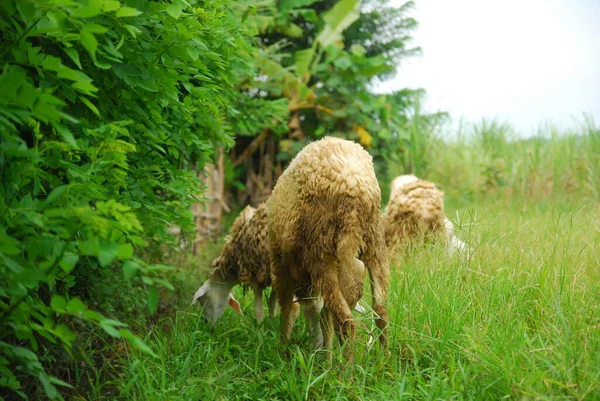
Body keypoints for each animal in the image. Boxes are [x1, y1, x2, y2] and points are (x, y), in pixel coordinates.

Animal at [266, 136, 390, 360]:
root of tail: (355, 186)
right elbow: (323, 316)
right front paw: (324, 356)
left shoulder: (282, 266)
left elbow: (287, 309)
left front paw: (283, 351)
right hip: (374, 244)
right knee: (379, 310)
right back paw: (385, 361)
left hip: (321, 256)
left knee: (347, 321)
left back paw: (346, 369)